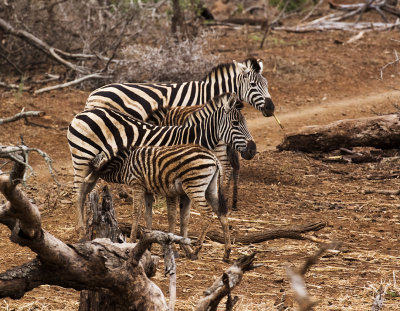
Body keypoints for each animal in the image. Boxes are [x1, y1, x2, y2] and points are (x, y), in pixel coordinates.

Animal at [67, 92, 256, 232]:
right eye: (235, 123)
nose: (252, 150)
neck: (191, 137)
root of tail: (82, 114)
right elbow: (176, 212)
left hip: (93, 166)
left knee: (85, 191)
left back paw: (83, 224)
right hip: (82, 158)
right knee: (78, 192)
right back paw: (81, 228)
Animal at [86, 145, 231, 262]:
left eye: (98, 157)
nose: (89, 165)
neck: (124, 165)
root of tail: (214, 158)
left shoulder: (137, 184)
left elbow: (137, 212)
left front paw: (132, 241)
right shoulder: (148, 191)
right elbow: (148, 214)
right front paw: (148, 243)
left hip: (194, 186)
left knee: (208, 213)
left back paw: (197, 249)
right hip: (210, 189)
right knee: (222, 214)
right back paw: (227, 253)